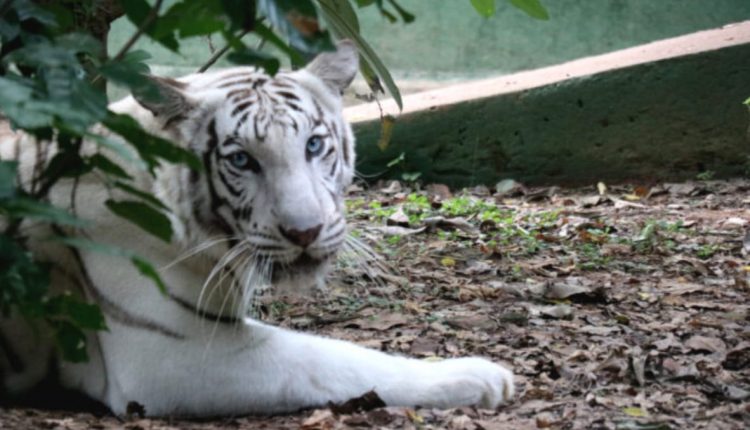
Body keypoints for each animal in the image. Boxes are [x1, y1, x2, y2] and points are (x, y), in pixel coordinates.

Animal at [0, 40, 516, 416]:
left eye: (313, 146)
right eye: (242, 160)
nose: (305, 232)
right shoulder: (175, 355)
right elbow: (335, 359)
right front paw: (477, 376)